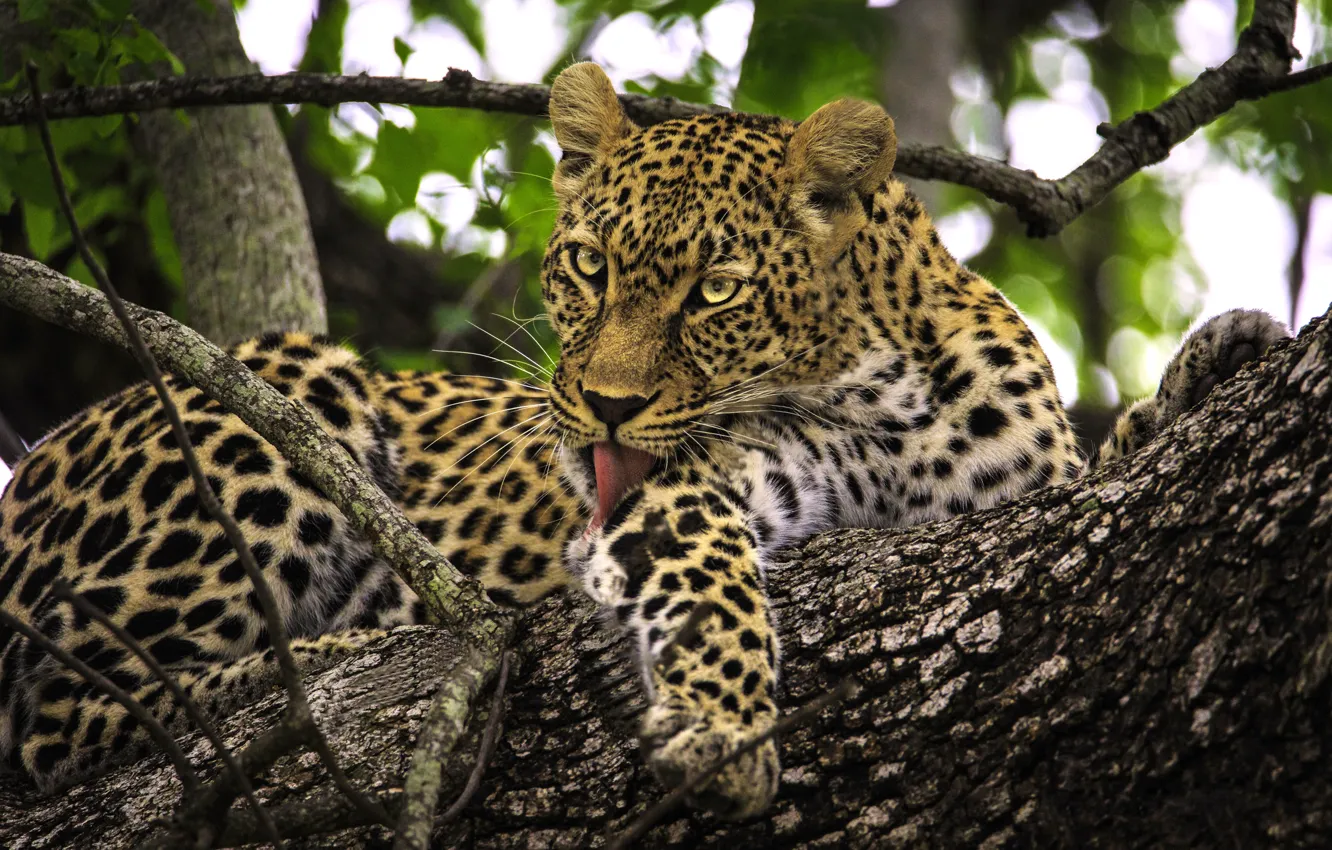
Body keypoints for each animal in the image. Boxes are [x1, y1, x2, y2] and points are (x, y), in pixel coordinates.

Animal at [0, 61, 1290, 820]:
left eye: (714, 289)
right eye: (586, 264)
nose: (606, 407)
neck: (891, 400)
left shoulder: (1023, 489)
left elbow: (1102, 463)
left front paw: (1212, 365)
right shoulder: (686, 490)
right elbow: (710, 574)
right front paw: (723, 727)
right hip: (277, 388)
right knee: (56, 709)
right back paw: (327, 654)